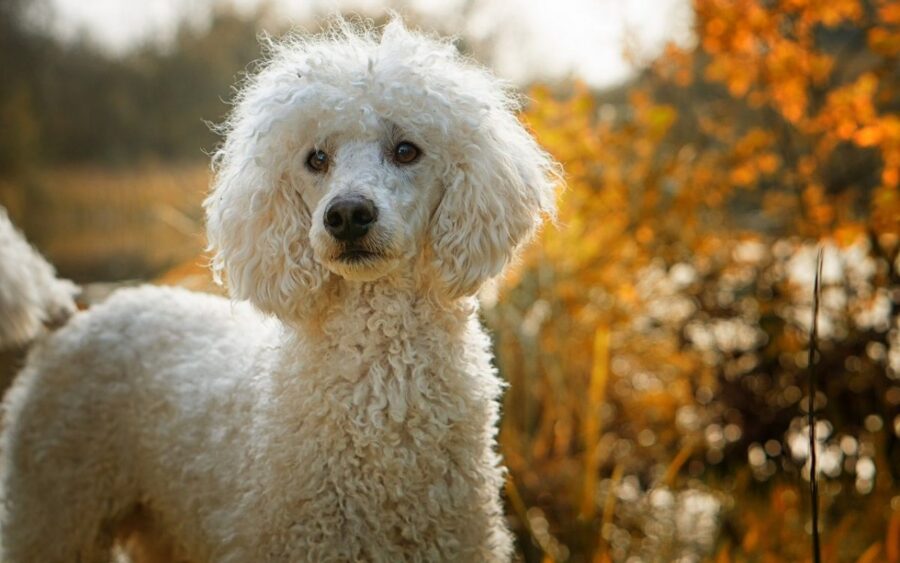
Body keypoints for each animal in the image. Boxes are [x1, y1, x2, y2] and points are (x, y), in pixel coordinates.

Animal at [0, 19, 556, 560]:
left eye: (406, 150)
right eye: (316, 159)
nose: (346, 215)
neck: (380, 385)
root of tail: (67, 314)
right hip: (53, 510)